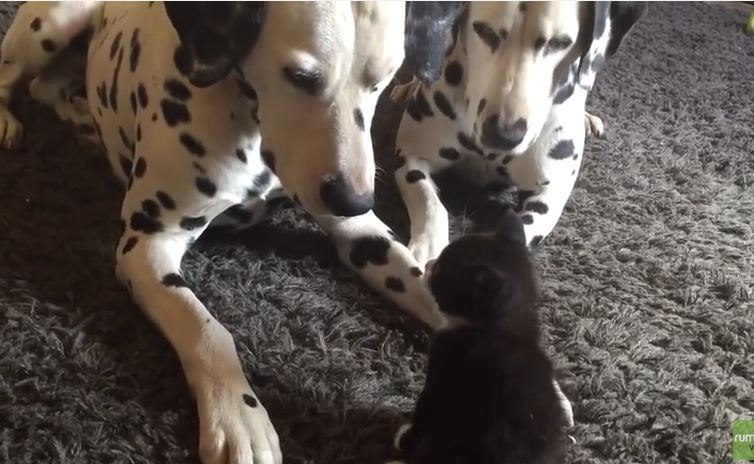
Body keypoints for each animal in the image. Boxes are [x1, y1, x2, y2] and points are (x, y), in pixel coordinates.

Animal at [0, 1, 476, 462]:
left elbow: (425, 286)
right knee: (17, 80)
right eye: (301, 76)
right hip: (53, 24)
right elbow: (207, 329)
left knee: (47, 87)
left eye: (385, 78)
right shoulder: (147, 245)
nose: (353, 198)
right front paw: (237, 417)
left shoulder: (360, 233)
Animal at [390, 1, 644, 266]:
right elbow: (430, 201)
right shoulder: (411, 158)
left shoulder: (549, 193)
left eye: (559, 43)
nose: (503, 135)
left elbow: (520, 230)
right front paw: (428, 246)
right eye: (484, 31)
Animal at [394, 210, 564, 464]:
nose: (429, 263)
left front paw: (404, 439)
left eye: (440, 270)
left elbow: (424, 412)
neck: (501, 328)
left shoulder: (443, 372)